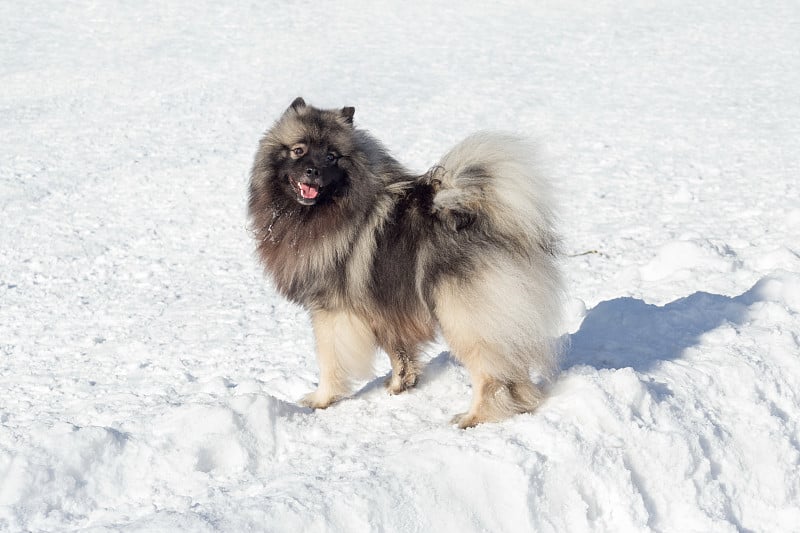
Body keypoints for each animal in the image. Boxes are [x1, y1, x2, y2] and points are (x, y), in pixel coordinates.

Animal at [247, 97, 564, 426]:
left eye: (332, 157)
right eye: (298, 150)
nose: (313, 171)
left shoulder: (334, 311)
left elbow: (330, 360)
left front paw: (322, 400)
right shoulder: (385, 306)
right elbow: (398, 351)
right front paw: (401, 385)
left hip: (462, 317)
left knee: (491, 375)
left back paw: (474, 417)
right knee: (513, 368)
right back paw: (524, 403)